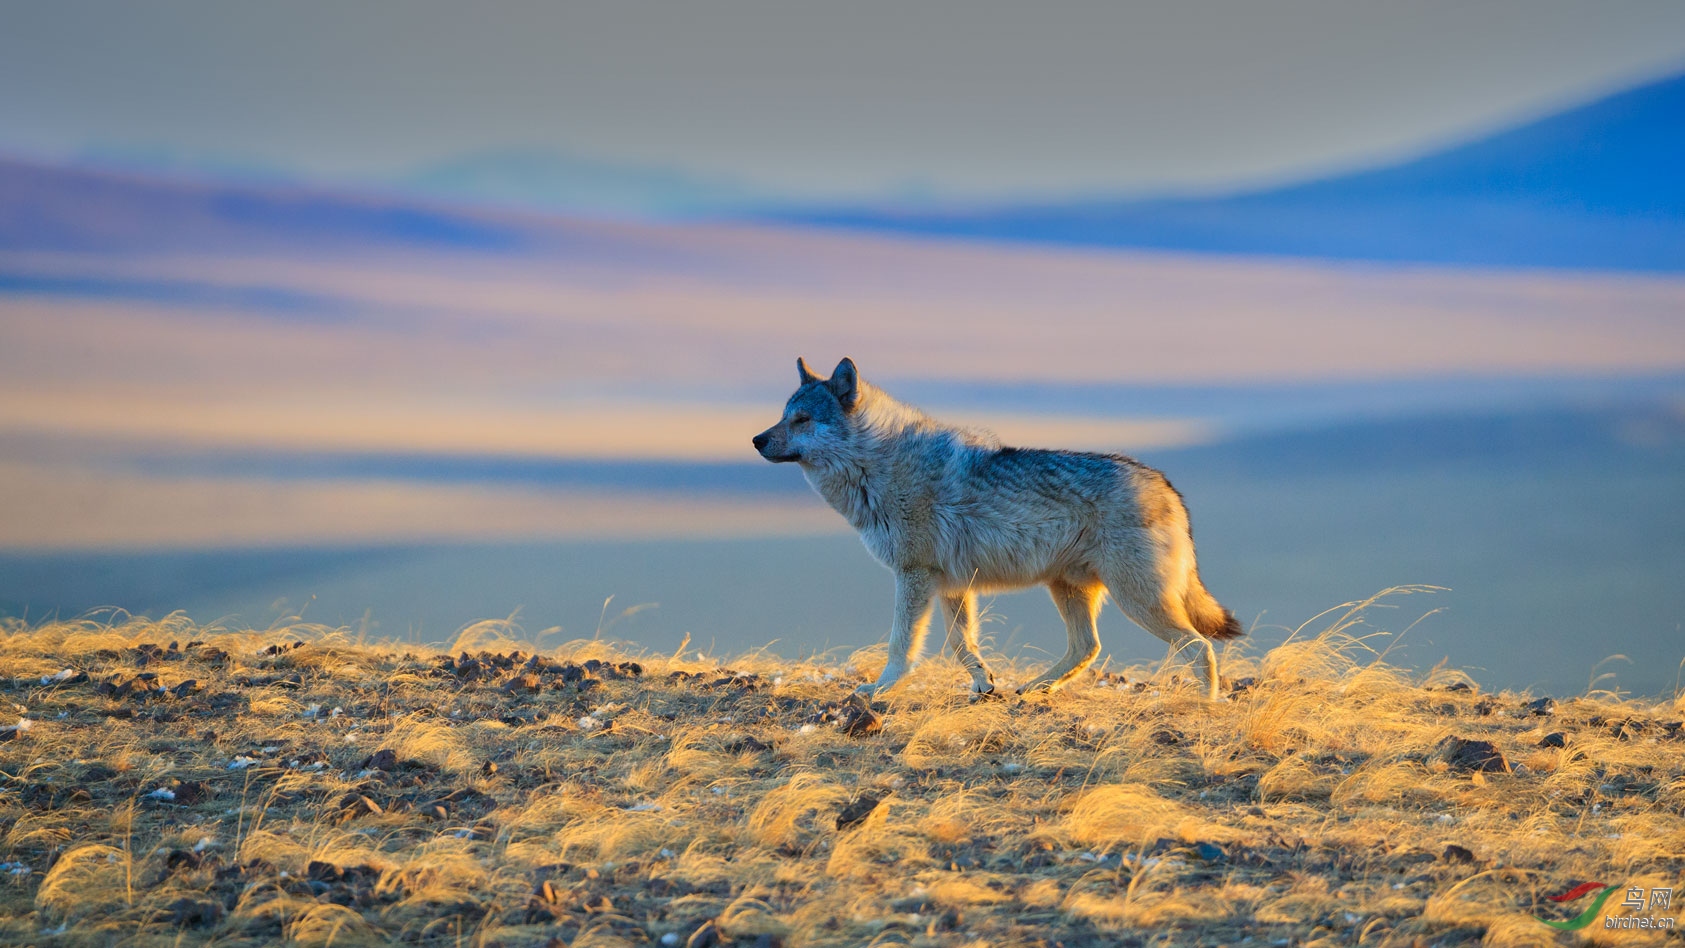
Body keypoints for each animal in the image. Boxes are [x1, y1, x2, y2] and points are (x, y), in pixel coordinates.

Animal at [751, 356, 1240, 697]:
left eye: (802, 420)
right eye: (782, 416)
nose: (755, 440)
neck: (878, 468)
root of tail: (1167, 487)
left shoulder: (914, 576)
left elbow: (901, 646)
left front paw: (880, 689)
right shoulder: (951, 584)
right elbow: (961, 643)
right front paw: (984, 684)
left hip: (1137, 599)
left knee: (1199, 647)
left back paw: (1206, 704)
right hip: (1069, 589)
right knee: (1088, 647)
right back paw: (1037, 688)